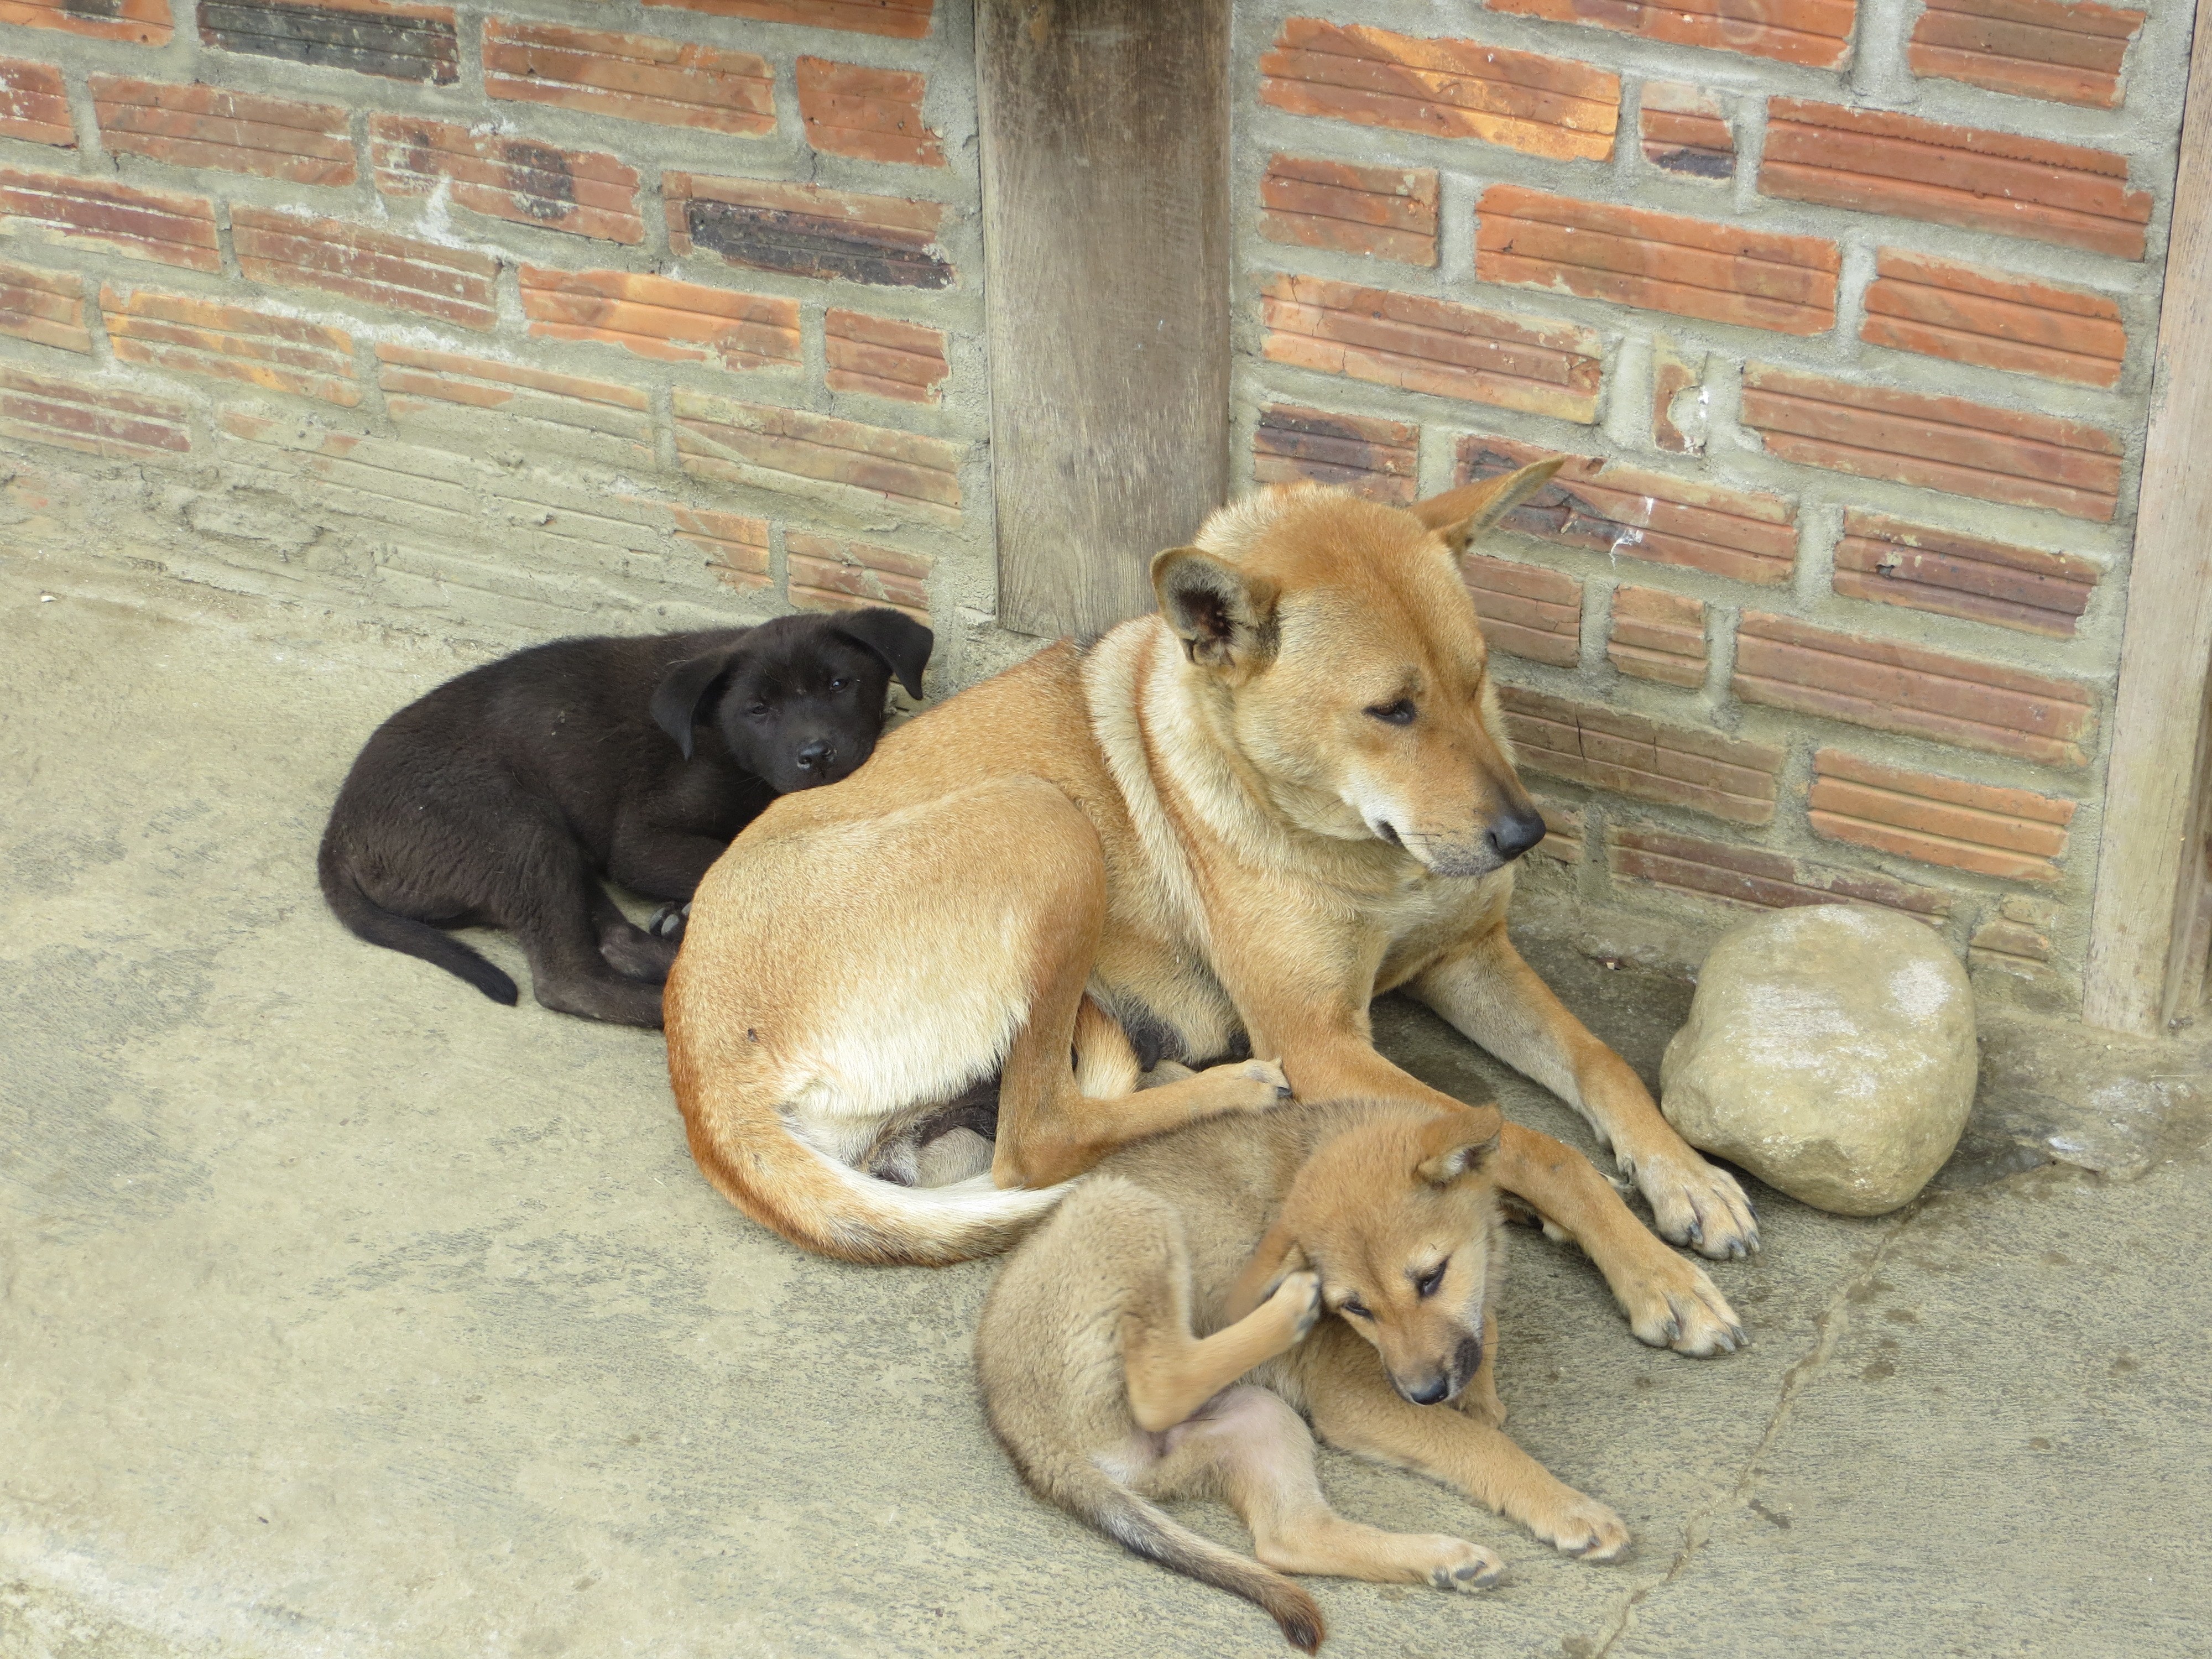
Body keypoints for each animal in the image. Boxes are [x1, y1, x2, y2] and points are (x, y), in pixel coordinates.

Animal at [319, 611, 925, 1026]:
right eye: (757, 710)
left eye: (840, 684)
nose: (817, 755)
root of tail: (339, 832)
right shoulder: (643, 840)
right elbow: (731, 857)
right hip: (514, 831)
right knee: (569, 981)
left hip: (554, 847)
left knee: (614, 940)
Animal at [664, 462, 1752, 1354]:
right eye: (1391, 711)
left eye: (1476, 679)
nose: (1525, 837)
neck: (1355, 847)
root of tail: (700, 1060)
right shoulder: (1320, 1039)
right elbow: (1540, 1141)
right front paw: (1653, 1272)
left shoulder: (1468, 956)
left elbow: (1600, 1062)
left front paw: (1686, 1181)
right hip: (1043, 821)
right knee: (1037, 1137)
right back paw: (1236, 1093)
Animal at [978, 1097, 1619, 1655]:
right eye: (1356, 1308)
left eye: (1432, 1278)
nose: (1424, 1395)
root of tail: (1023, 1429)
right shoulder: (1353, 1400)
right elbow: (1483, 1447)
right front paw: (1568, 1509)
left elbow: (1484, 1330)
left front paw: (1481, 1391)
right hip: (1125, 1206)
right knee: (1160, 1384)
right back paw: (1287, 1307)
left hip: (1258, 1419)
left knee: (1287, 1539)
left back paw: (1443, 1560)